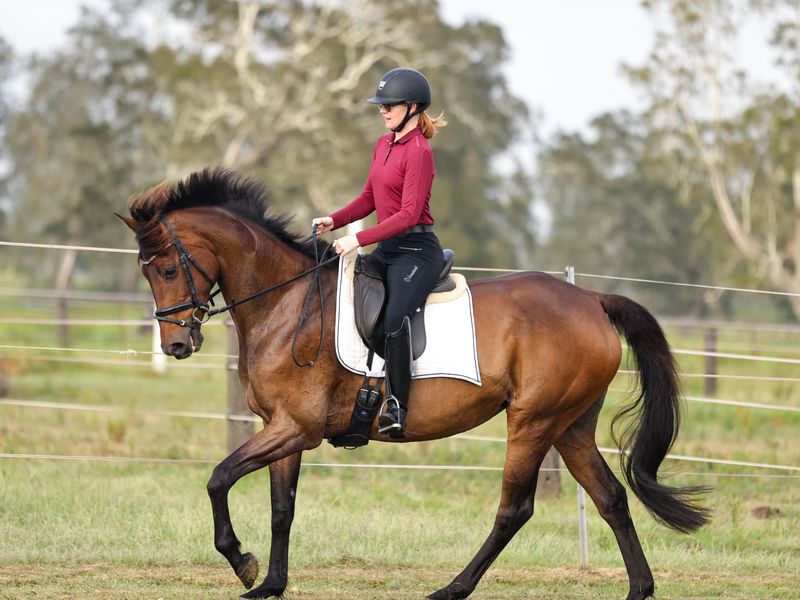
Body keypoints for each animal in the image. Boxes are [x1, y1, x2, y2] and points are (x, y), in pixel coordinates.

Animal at [120, 168, 709, 600]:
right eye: (147, 272)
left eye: (167, 270)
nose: (177, 345)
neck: (285, 303)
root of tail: (590, 299)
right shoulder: (281, 428)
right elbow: (281, 507)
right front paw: (269, 584)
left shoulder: (295, 428)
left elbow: (219, 478)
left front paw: (242, 562)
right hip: (571, 426)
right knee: (611, 498)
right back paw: (638, 589)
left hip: (533, 421)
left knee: (514, 509)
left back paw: (452, 589)